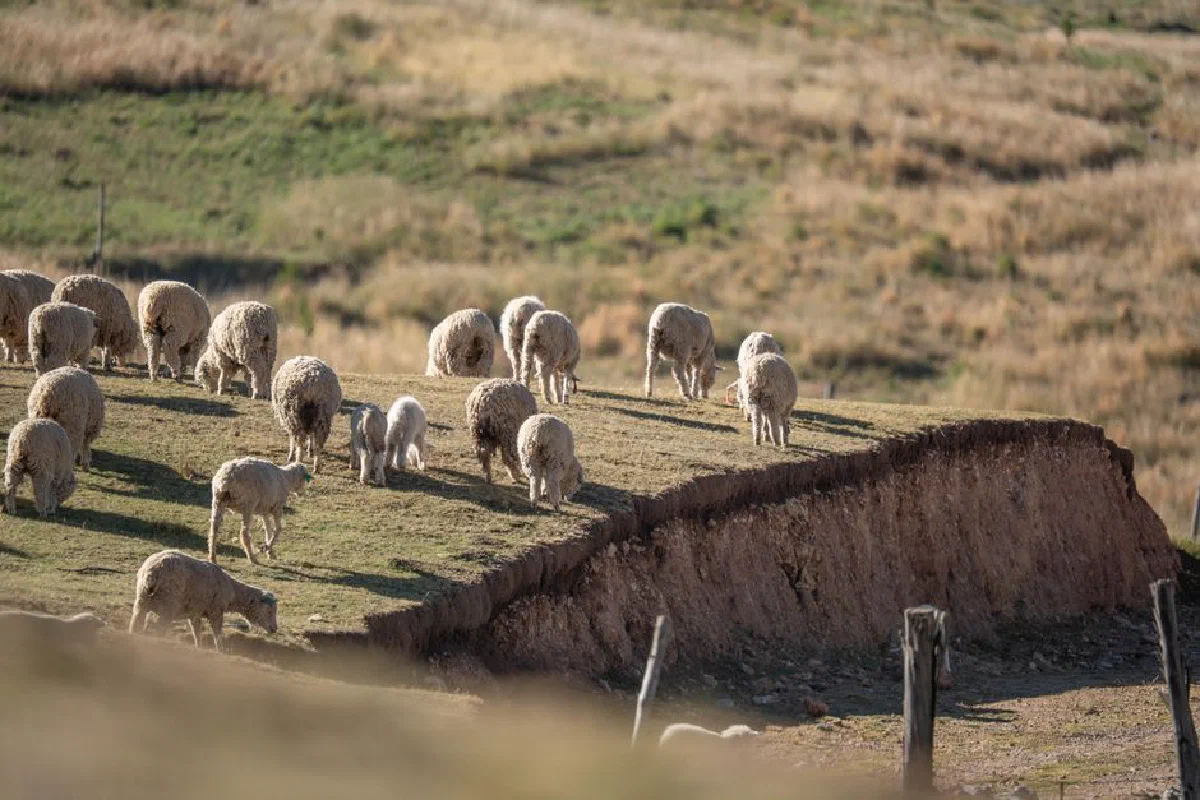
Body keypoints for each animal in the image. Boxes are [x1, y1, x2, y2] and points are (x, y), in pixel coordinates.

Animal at [128, 549, 278, 651]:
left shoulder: (195, 612)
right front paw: (220, 650)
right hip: (168, 605)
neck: (232, 591)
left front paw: (198, 647)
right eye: (269, 611)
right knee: (160, 627)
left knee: (136, 622)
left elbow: (196, 632)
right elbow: (217, 633)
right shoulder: (215, 611)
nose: (274, 629)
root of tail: (153, 573)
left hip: (141, 601)